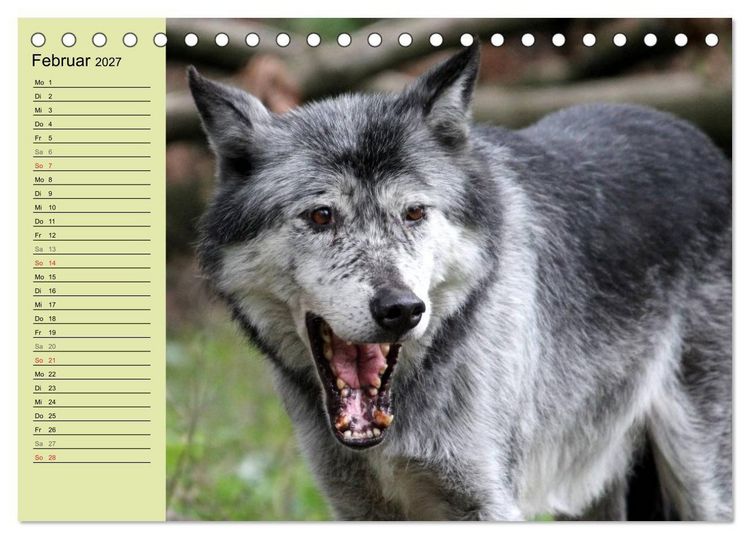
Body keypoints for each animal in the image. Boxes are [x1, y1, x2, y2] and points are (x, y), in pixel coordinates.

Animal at [187, 43, 732, 520]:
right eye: (321, 215)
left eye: (413, 212)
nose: (402, 309)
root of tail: (703, 144)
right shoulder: (359, 507)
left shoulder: (488, 502)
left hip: (705, 486)